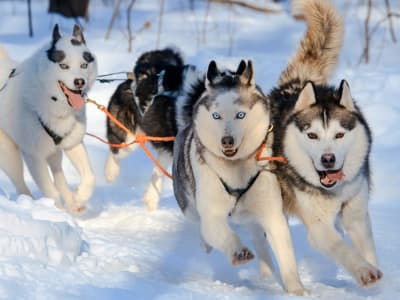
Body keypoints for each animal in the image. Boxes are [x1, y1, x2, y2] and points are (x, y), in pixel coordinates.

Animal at [0, 25, 97, 213]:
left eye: (84, 65)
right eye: (64, 65)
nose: (79, 82)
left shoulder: (73, 143)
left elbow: (90, 177)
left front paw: (79, 198)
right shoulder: (34, 156)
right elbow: (50, 191)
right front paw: (57, 212)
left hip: (54, 151)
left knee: (59, 176)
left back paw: (73, 203)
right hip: (10, 156)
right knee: (21, 185)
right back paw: (29, 204)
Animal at [173, 60, 306, 296]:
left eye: (240, 115)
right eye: (216, 116)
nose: (227, 140)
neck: (236, 169)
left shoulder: (272, 213)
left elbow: (284, 252)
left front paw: (296, 290)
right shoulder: (212, 214)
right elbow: (220, 232)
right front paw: (238, 251)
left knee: (259, 238)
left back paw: (266, 271)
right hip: (189, 206)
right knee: (201, 228)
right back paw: (207, 244)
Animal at [268, 0, 382, 288]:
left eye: (339, 135)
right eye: (312, 136)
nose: (327, 159)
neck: (334, 191)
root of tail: (296, 84)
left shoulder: (356, 213)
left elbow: (365, 248)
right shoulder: (319, 227)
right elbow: (342, 248)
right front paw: (363, 270)